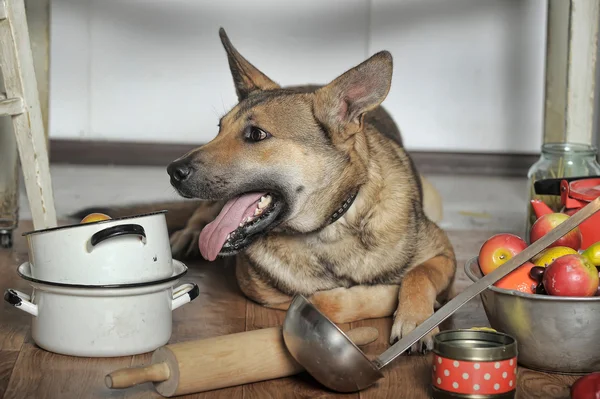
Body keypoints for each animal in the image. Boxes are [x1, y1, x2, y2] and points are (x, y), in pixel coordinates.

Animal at [78, 28, 454, 354]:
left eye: (256, 135)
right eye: (218, 129)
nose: (173, 172)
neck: (328, 229)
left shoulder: (444, 254)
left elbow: (418, 274)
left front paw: (416, 319)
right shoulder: (268, 293)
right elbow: (326, 300)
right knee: (202, 213)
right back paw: (189, 234)